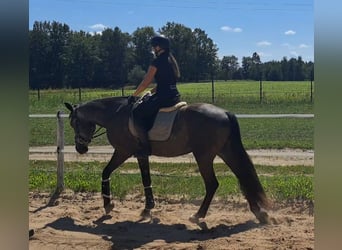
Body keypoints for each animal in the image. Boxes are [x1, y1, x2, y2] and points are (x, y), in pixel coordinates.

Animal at [65, 96, 272, 224]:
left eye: (74, 122)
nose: (80, 148)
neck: (115, 115)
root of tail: (225, 113)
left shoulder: (123, 151)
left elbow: (108, 171)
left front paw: (109, 205)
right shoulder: (139, 155)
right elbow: (145, 179)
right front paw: (146, 208)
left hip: (204, 156)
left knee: (212, 184)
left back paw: (198, 215)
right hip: (225, 151)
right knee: (243, 176)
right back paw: (259, 213)